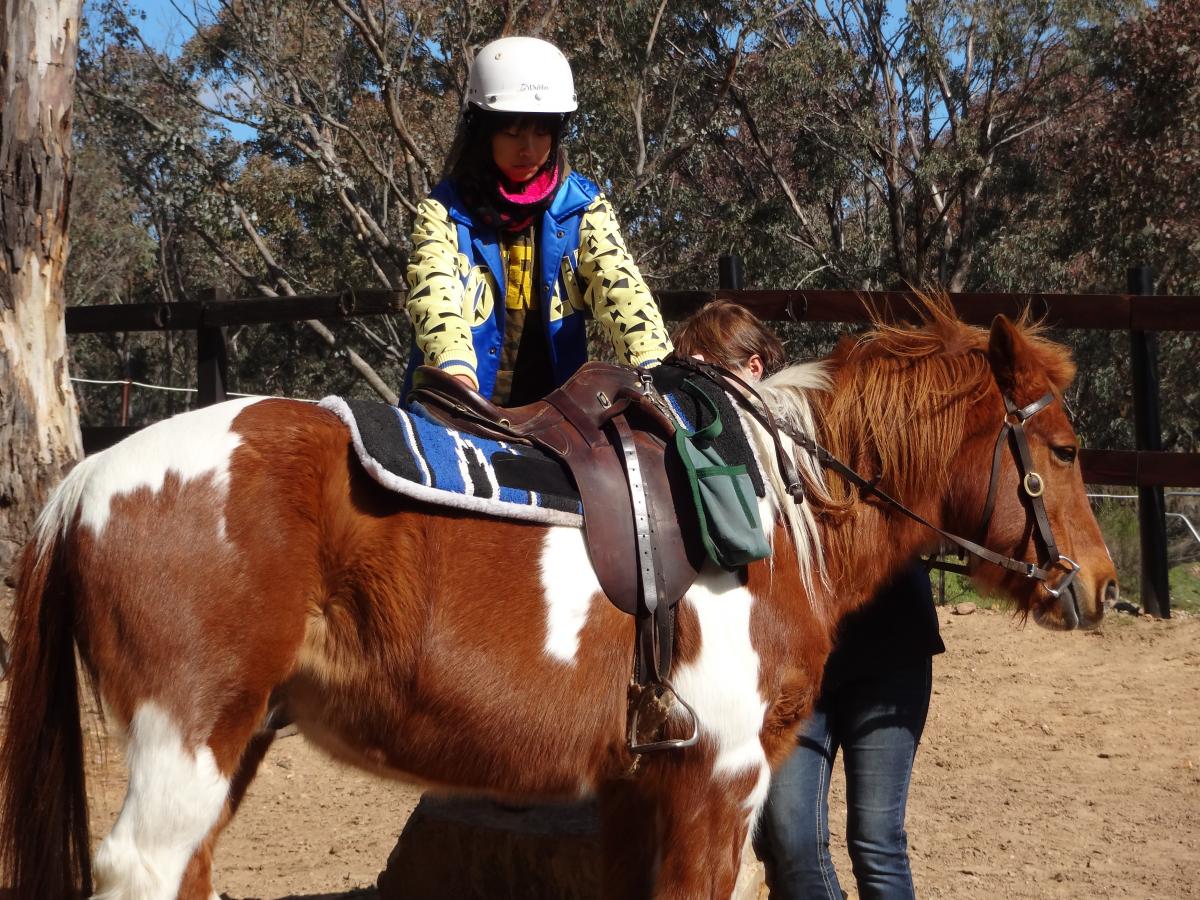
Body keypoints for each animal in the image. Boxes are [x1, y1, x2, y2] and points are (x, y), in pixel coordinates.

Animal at [0, 304, 1113, 900]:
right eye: (1062, 450)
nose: (1099, 584)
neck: (774, 504)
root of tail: (88, 479)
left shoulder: (638, 789)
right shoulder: (722, 778)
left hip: (234, 746)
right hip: (187, 743)